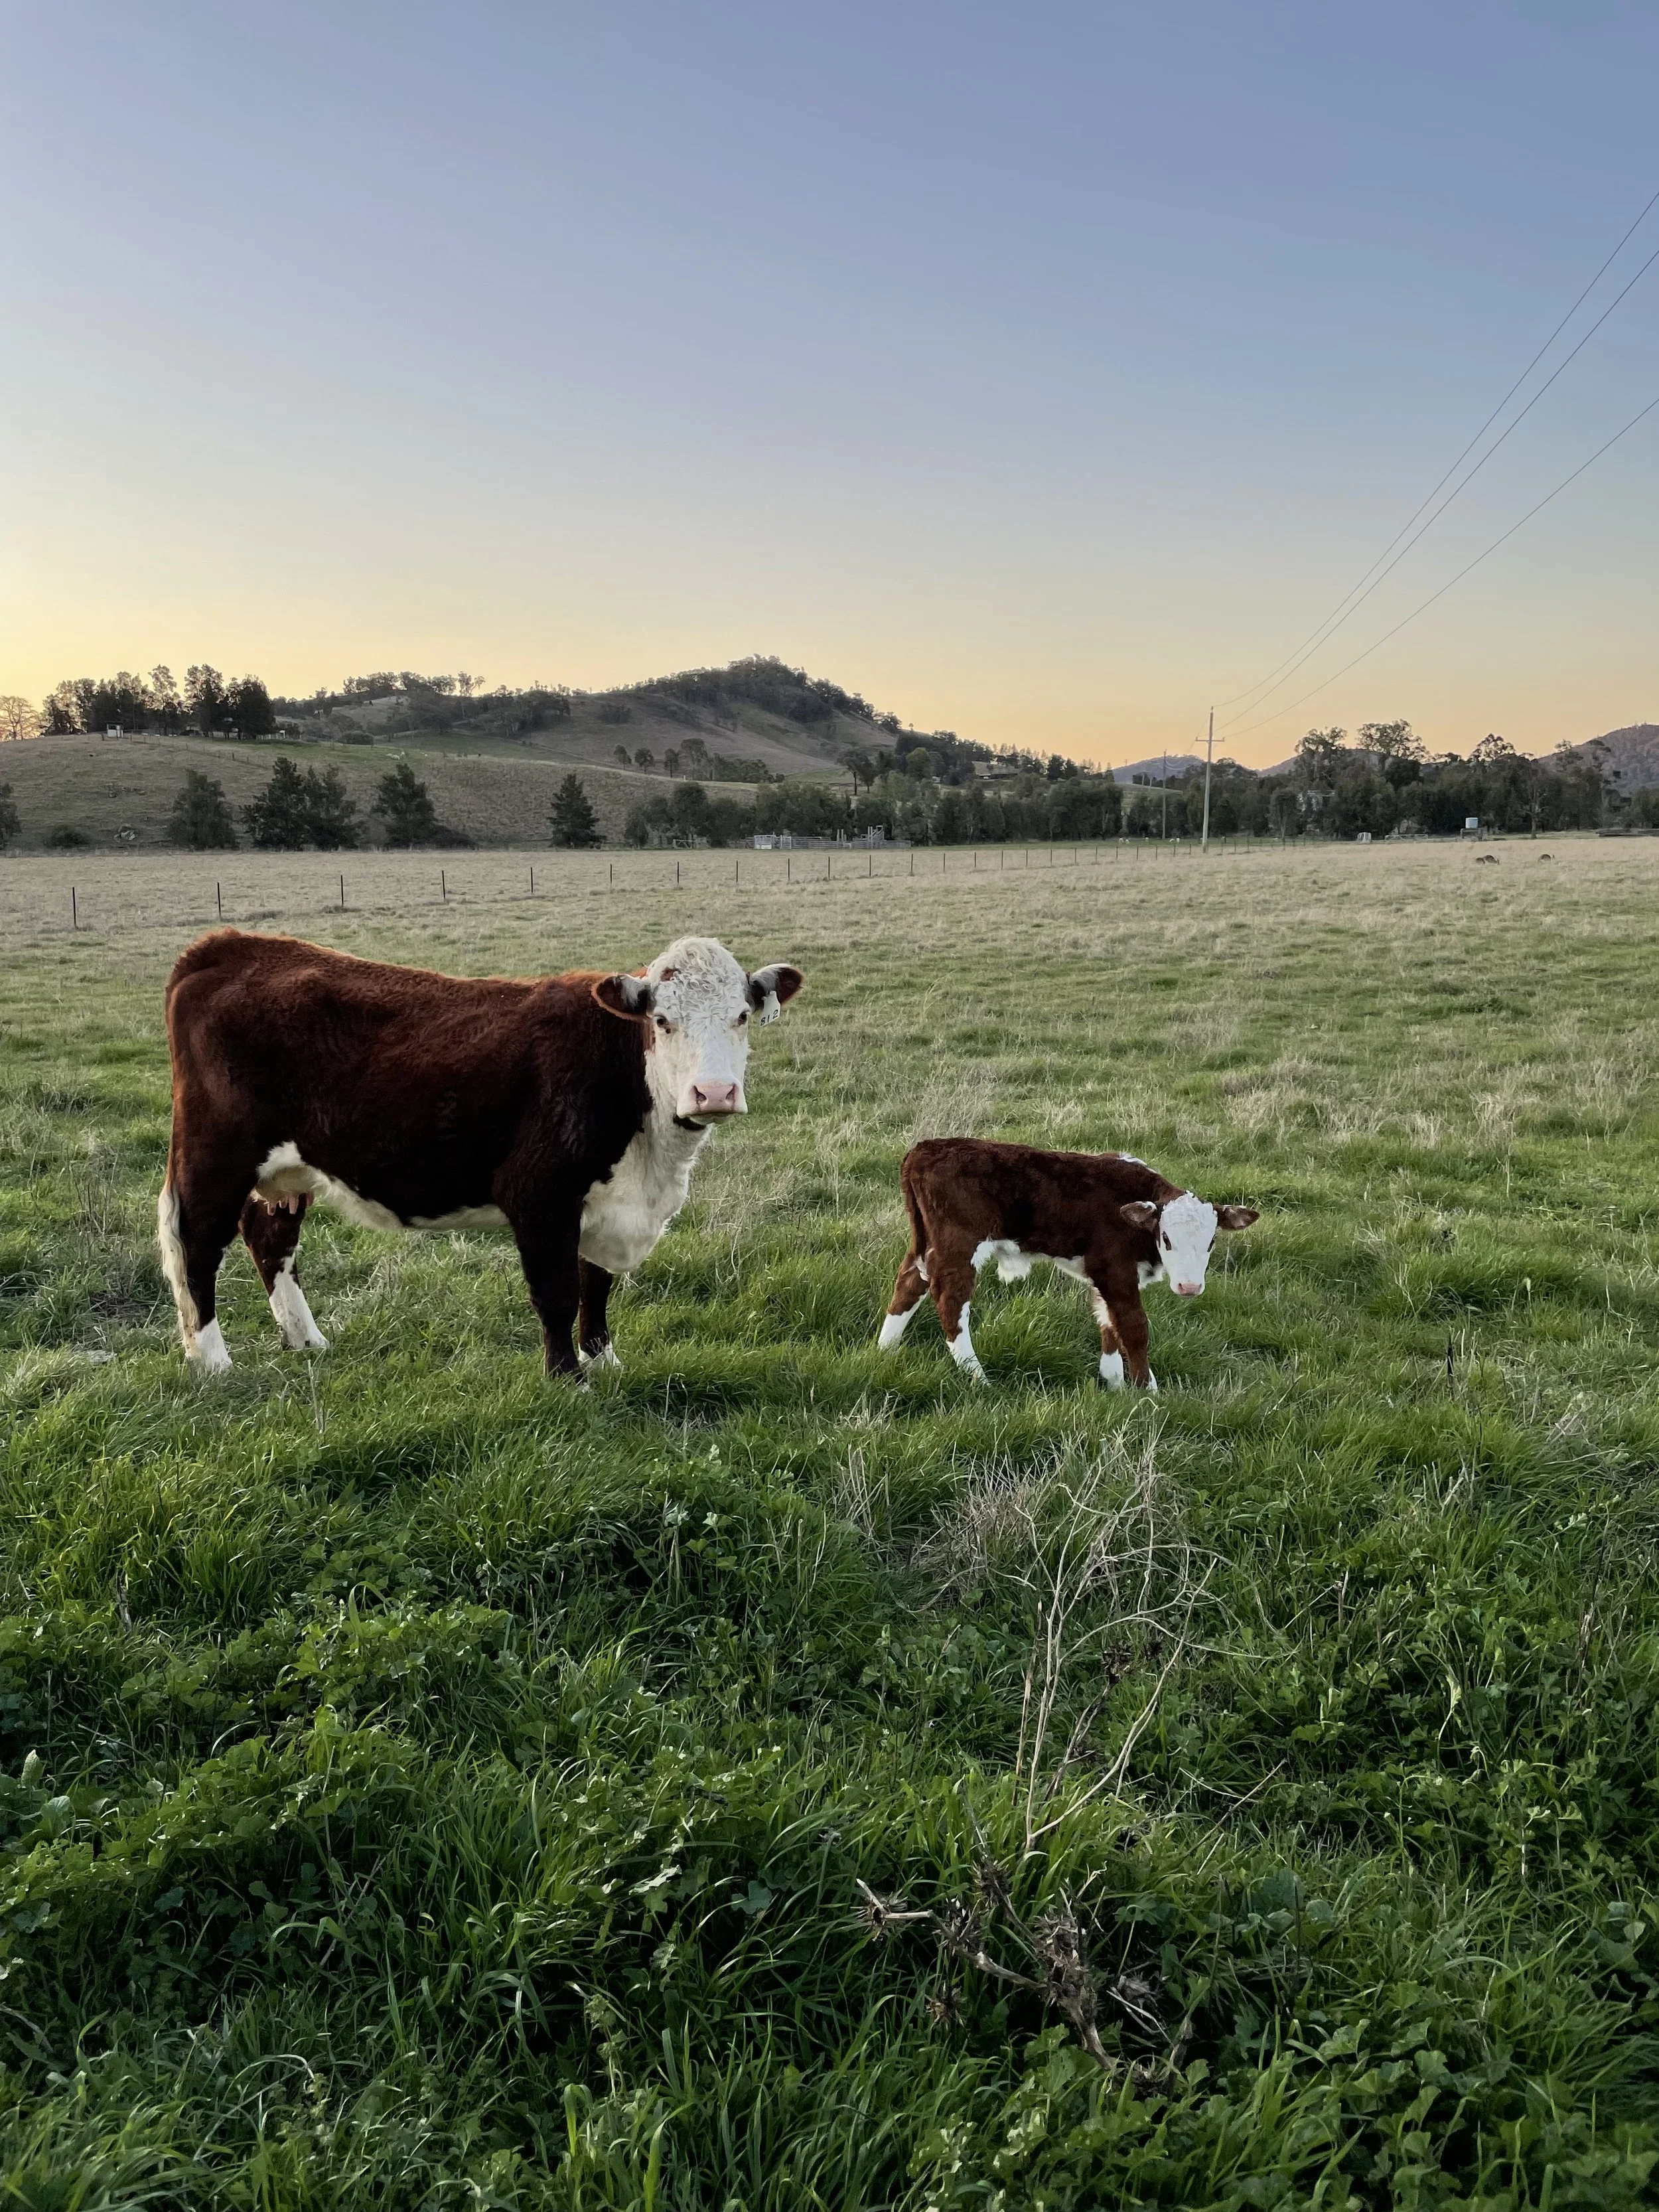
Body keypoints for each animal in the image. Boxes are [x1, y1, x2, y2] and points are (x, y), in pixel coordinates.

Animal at [157, 930, 802, 1376]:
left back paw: (305, 1338)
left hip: (286, 1170)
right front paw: (568, 1377)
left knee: (271, 1239)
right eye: (663, 1021)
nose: (714, 1092)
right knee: (198, 1247)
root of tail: (231, 946)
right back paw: (213, 1360)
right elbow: (557, 1291)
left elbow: (595, 1284)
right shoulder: (541, 1195)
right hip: (215, 1157)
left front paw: (604, 1361)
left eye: (741, 1016)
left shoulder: (605, 1202)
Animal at [877, 1139, 1257, 1389]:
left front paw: (1114, 1383)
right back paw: (979, 1378)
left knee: (909, 1283)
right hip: (958, 1245)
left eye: (1211, 1242)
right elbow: (1134, 1327)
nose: (1189, 1287)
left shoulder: (1106, 1274)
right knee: (950, 1302)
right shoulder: (1114, 1269)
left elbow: (1108, 1321)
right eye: (1166, 1239)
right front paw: (1147, 1392)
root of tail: (925, 1148)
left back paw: (884, 1350)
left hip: (927, 1243)